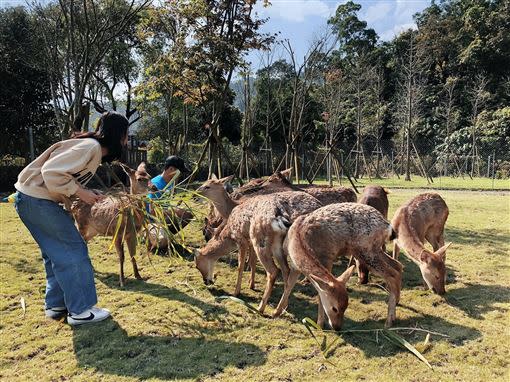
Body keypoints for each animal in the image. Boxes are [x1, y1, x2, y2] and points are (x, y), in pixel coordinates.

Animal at [274, 201, 402, 330]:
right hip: (371, 250)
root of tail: (388, 227)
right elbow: (288, 286)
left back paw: (389, 321)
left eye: (345, 307)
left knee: (392, 273)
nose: (337, 327)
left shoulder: (327, 258)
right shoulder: (295, 266)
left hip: (366, 251)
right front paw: (276, 312)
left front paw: (319, 324)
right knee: (397, 265)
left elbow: (319, 292)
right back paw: (396, 305)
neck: (297, 240)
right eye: (335, 308)